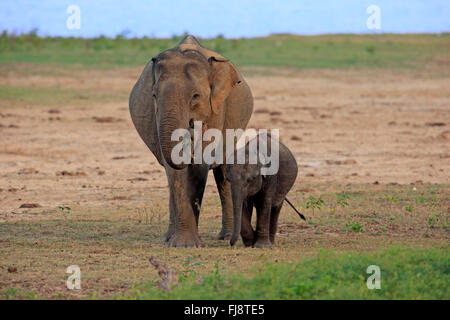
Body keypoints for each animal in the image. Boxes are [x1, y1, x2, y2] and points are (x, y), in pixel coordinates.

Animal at [129, 35, 253, 246]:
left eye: (196, 96)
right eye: (154, 95)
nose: (192, 125)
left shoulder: (216, 110)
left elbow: (200, 164)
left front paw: (189, 244)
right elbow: (175, 169)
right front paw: (183, 244)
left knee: (224, 171)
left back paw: (226, 237)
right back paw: (167, 238)